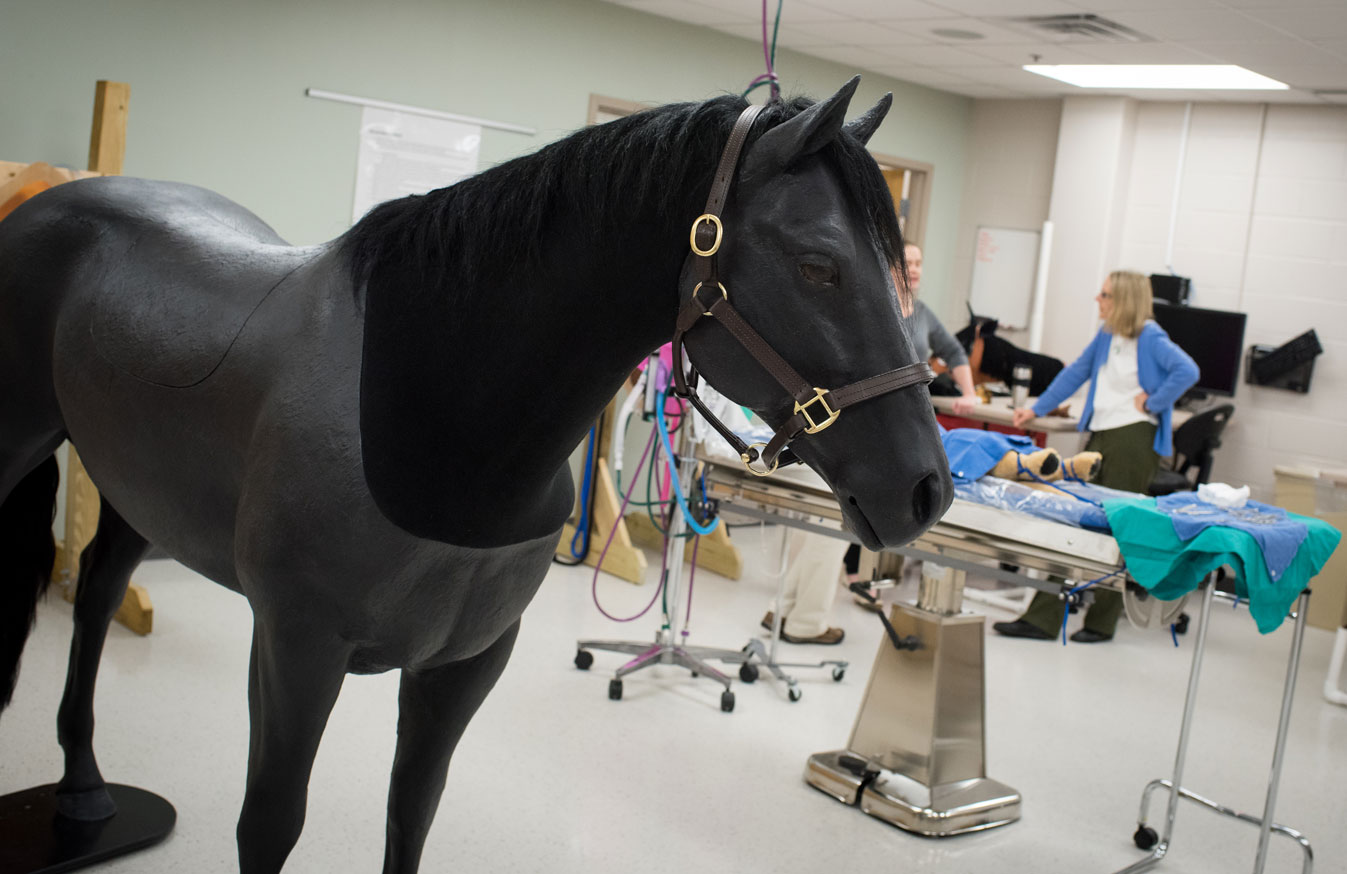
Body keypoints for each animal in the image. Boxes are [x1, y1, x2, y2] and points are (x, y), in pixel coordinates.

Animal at [0, 77, 951, 872]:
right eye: (819, 264)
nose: (925, 489)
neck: (437, 396)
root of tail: (53, 198)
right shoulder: (294, 647)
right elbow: (268, 824)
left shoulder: (464, 665)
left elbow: (410, 814)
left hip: (139, 491)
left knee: (96, 590)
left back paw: (83, 788)